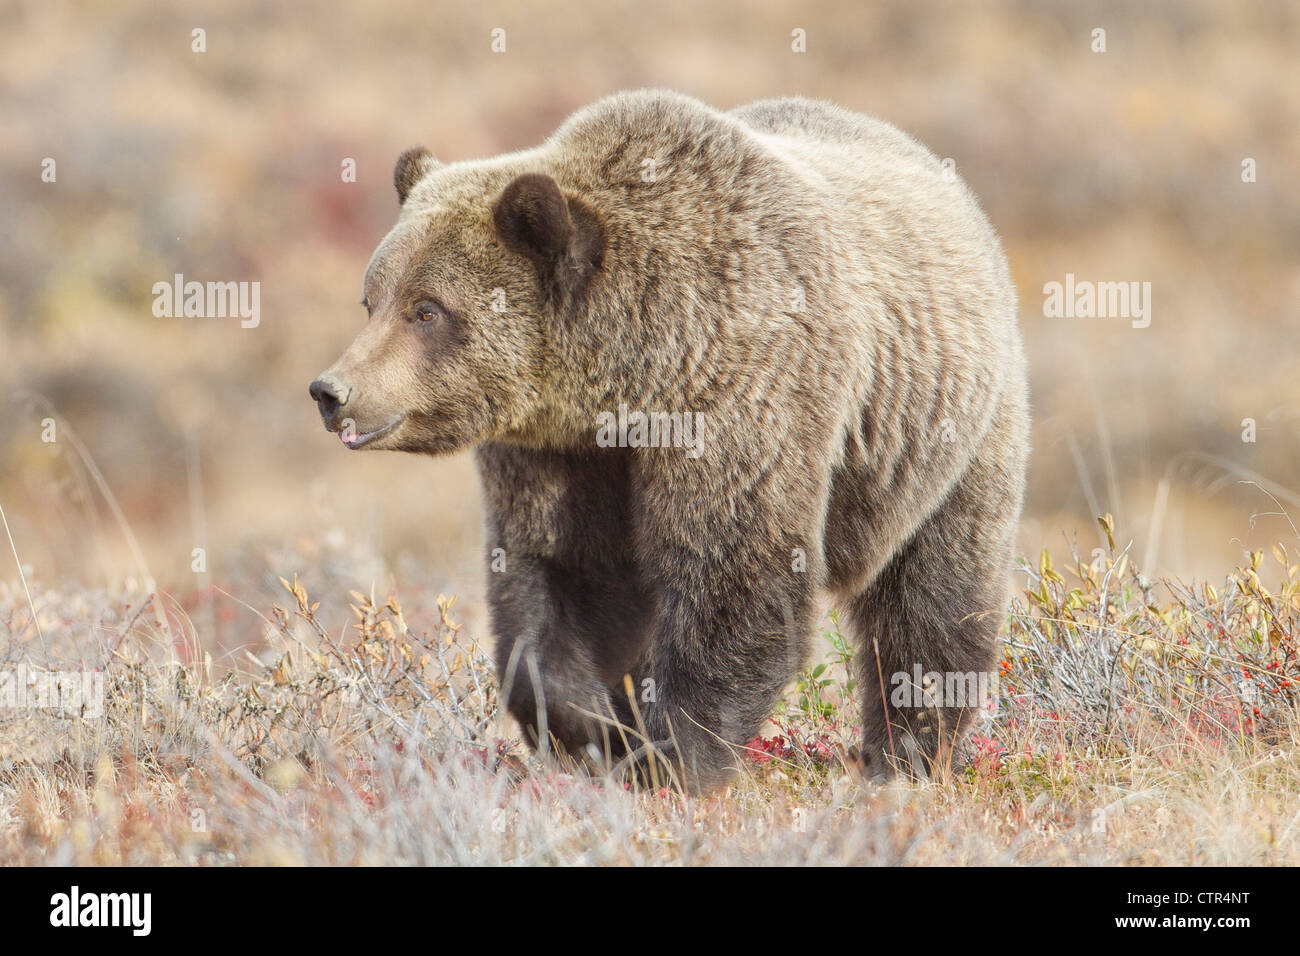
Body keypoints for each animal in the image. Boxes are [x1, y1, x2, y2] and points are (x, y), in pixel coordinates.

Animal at [310, 90, 1029, 793]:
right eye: (372, 298)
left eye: (427, 310)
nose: (332, 391)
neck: (635, 373)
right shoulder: (562, 448)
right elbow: (561, 574)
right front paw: (591, 727)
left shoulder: (741, 395)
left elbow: (735, 575)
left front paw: (673, 759)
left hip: (944, 433)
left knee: (932, 600)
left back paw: (907, 757)